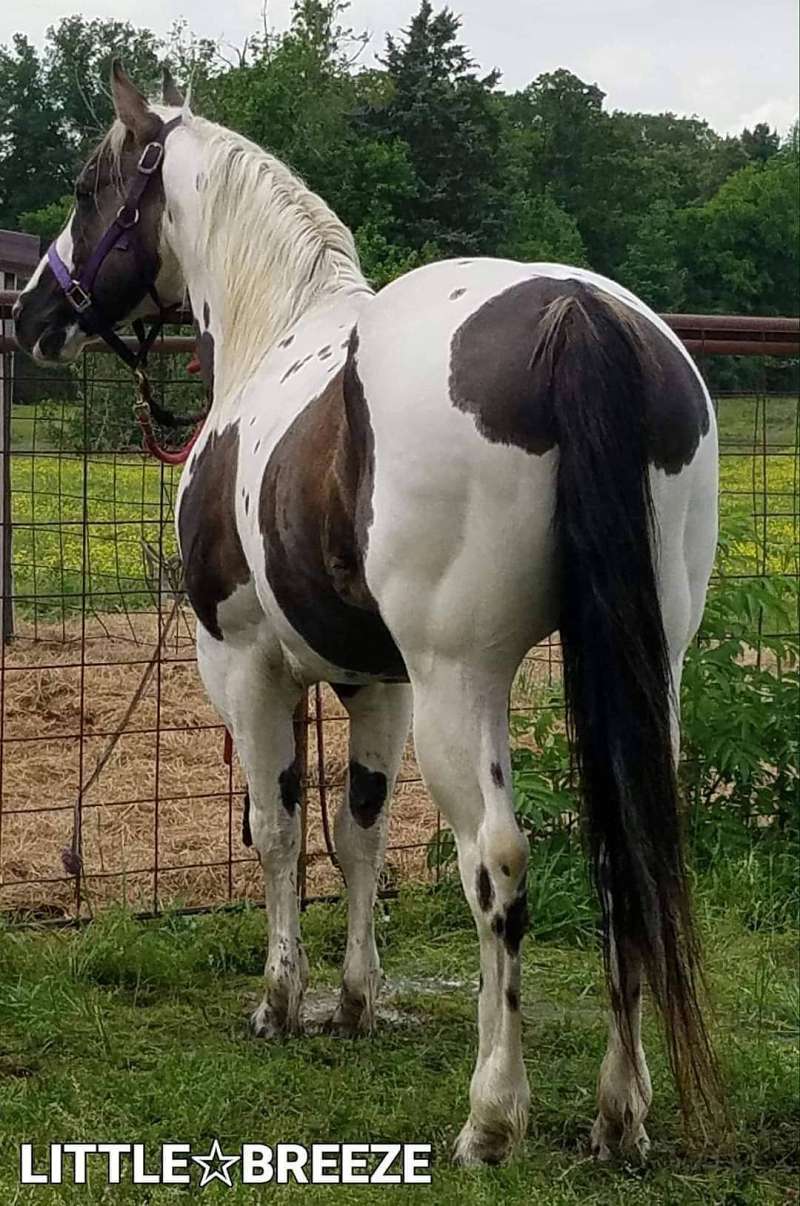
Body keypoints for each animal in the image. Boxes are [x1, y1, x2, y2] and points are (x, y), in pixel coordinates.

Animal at [14, 62, 722, 1165]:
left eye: (92, 188)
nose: (34, 313)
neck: (274, 335)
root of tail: (575, 311)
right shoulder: (373, 683)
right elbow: (358, 833)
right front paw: (353, 1002)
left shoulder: (247, 667)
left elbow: (275, 828)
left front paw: (280, 1002)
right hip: (647, 670)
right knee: (627, 856)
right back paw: (620, 1113)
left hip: (461, 678)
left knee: (498, 863)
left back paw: (491, 1115)